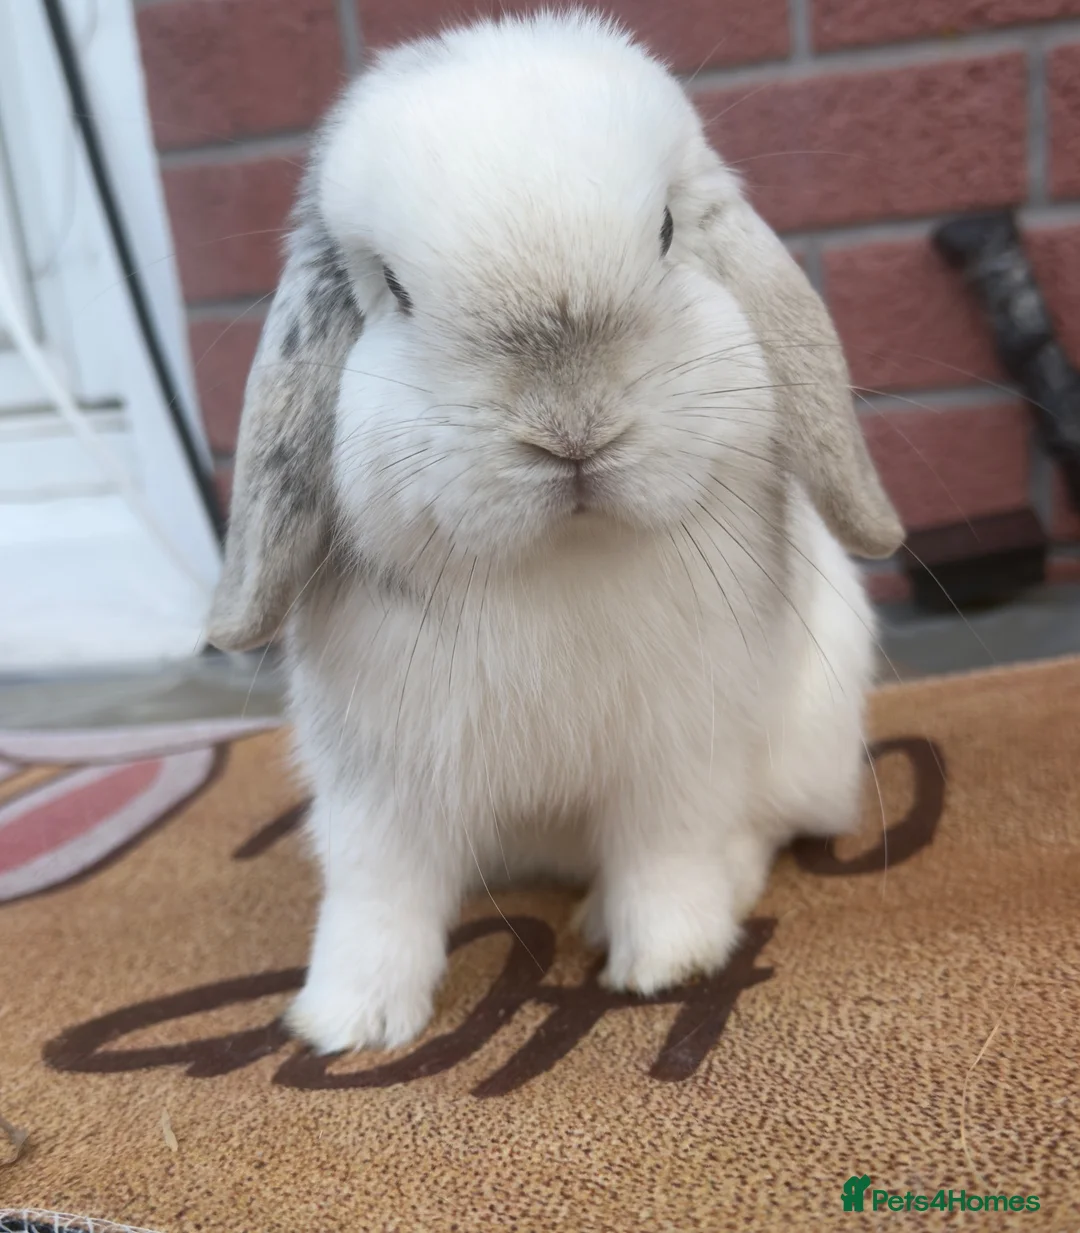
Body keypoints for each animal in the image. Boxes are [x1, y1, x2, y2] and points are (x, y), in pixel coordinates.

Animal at [206, 9, 903, 1054]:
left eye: (666, 233)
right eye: (396, 291)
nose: (573, 429)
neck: (557, 558)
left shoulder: (676, 752)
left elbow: (669, 854)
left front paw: (667, 965)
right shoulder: (380, 783)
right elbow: (377, 896)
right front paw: (350, 1022)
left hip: (809, 741)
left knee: (760, 828)